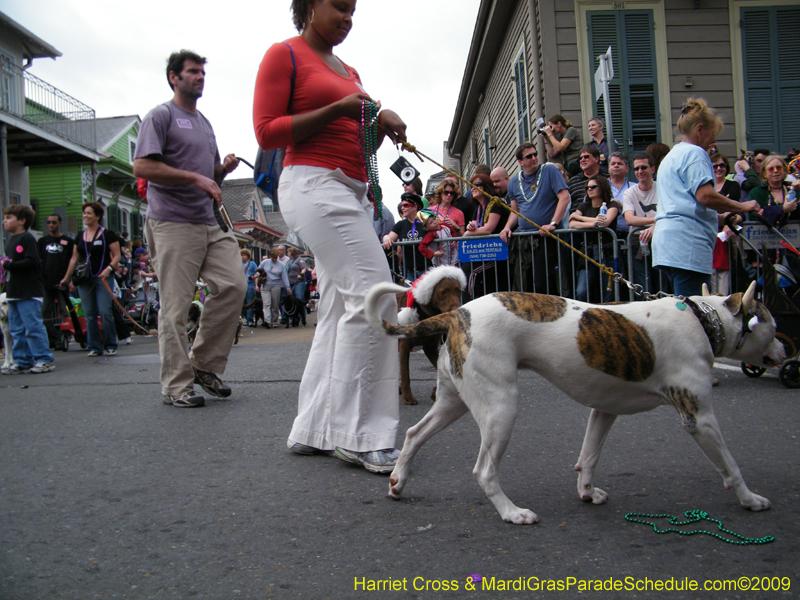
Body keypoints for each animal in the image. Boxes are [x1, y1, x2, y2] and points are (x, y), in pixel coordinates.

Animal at [366, 280, 784, 520]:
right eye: (773, 323)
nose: (786, 350)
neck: (704, 319)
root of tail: (457, 312)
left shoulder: (605, 410)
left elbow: (589, 456)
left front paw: (586, 491)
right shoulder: (700, 419)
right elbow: (731, 467)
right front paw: (750, 499)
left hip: (454, 401)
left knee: (414, 435)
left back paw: (398, 482)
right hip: (500, 408)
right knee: (484, 470)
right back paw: (512, 513)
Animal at [396, 266, 466, 404]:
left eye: (458, 291)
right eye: (443, 292)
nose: (457, 310)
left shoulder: (431, 347)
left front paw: (435, 392)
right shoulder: (405, 346)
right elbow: (405, 373)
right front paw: (408, 397)